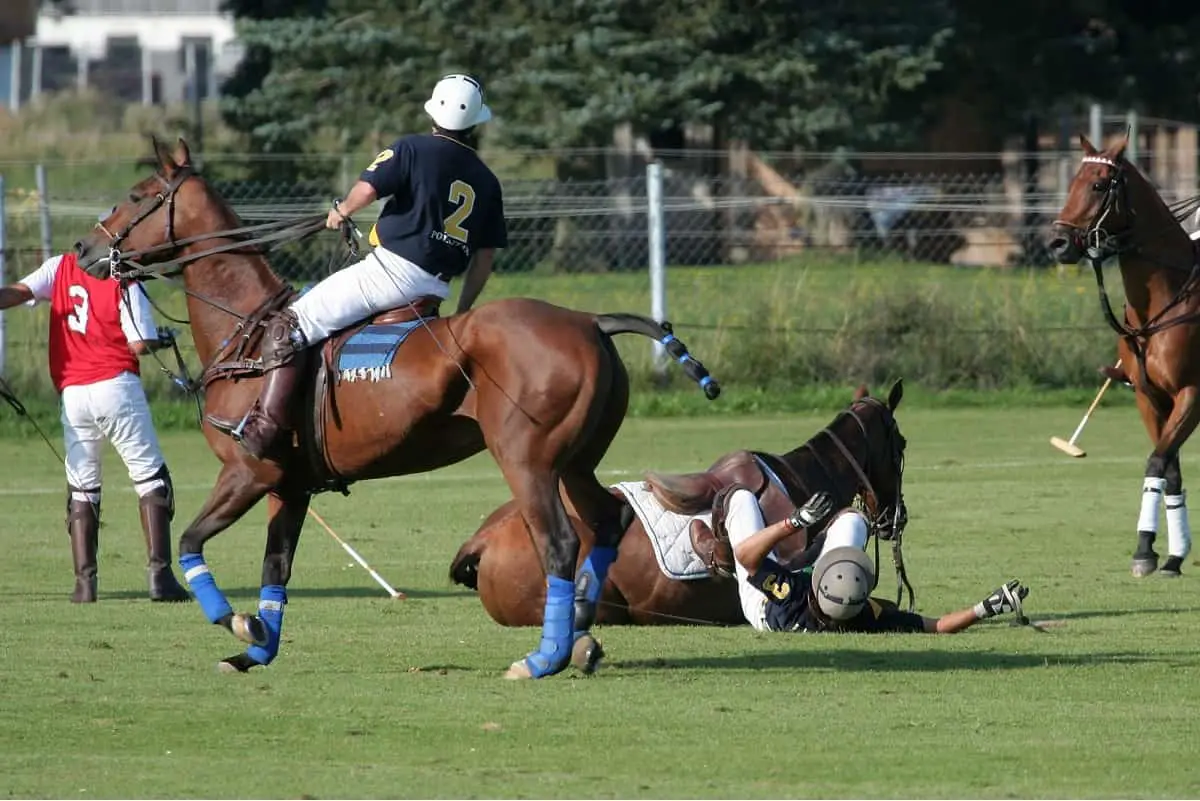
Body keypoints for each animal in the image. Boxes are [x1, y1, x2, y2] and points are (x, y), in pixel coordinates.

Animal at [79, 137, 715, 676]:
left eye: (136, 195)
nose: (85, 249)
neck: (248, 332)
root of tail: (590, 320)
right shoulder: (290, 486)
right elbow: (275, 568)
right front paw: (257, 648)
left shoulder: (248, 471)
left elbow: (190, 541)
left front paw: (236, 623)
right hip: (577, 459)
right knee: (606, 521)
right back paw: (580, 631)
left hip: (526, 459)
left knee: (560, 543)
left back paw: (542, 658)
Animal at [1046, 134, 1200, 577]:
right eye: (1072, 181)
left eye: (1100, 185)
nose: (1057, 243)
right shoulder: (1149, 398)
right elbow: (1171, 470)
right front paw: (1168, 555)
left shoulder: (1192, 392)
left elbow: (1156, 462)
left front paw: (1146, 550)